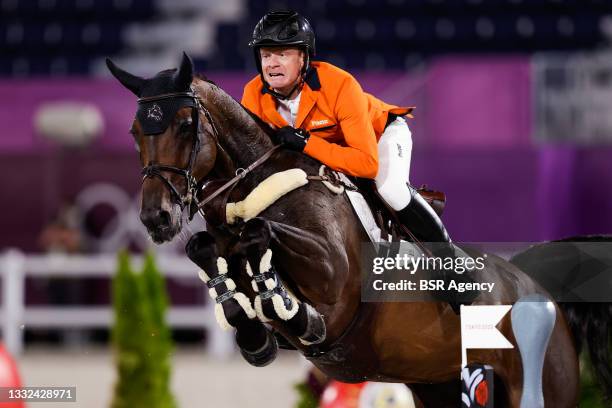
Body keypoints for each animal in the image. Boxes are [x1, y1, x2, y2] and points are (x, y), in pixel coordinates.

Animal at [107, 52, 608, 406]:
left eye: (185, 125)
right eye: (134, 132)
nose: (156, 219)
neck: (256, 187)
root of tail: (542, 289)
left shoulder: (332, 281)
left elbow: (262, 238)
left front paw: (288, 306)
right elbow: (204, 248)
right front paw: (251, 332)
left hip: (536, 384)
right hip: (441, 387)